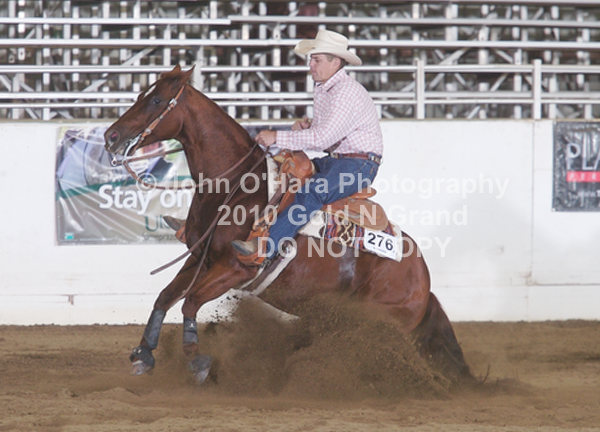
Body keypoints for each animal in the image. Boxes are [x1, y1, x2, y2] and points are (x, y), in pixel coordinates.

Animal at [104, 65, 472, 385]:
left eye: (155, 100)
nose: (111, 135)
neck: (234, 185)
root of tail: (423, 280)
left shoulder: (235, 268)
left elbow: (190, 302)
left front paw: (197, 362)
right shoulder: (201, 259)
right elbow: (165, 297)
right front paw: (144, 355)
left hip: (379, 320)